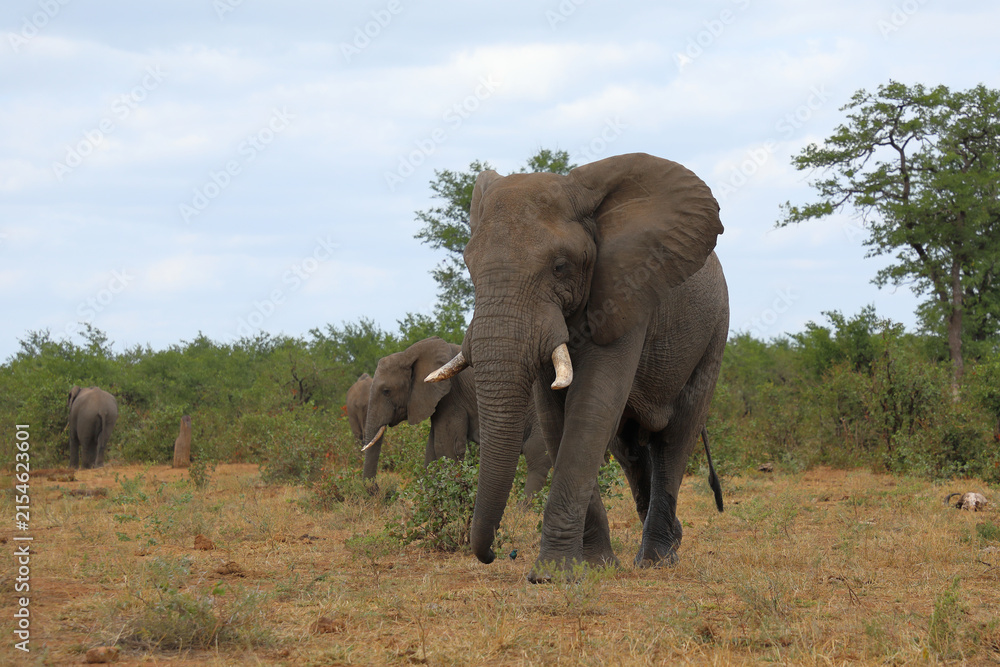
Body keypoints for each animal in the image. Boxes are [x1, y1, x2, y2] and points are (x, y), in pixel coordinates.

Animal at [362, 336, 550, 498]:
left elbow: (446, 447)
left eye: (386, 391)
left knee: (537, 453)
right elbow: (432, 448)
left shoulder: (452, 397)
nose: (382, 492)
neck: (409, 353)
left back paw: (524, 508)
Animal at [425, 153, 728, 580]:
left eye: (560, 266)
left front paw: (551, 574)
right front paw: (594, 565)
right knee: (629, 449)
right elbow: (555, 416)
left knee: (674, 437)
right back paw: (672, 541)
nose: (496, 553)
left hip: (714, 331)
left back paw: (657, 559)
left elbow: (591, 405)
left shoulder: (627, 287)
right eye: (469, 266)